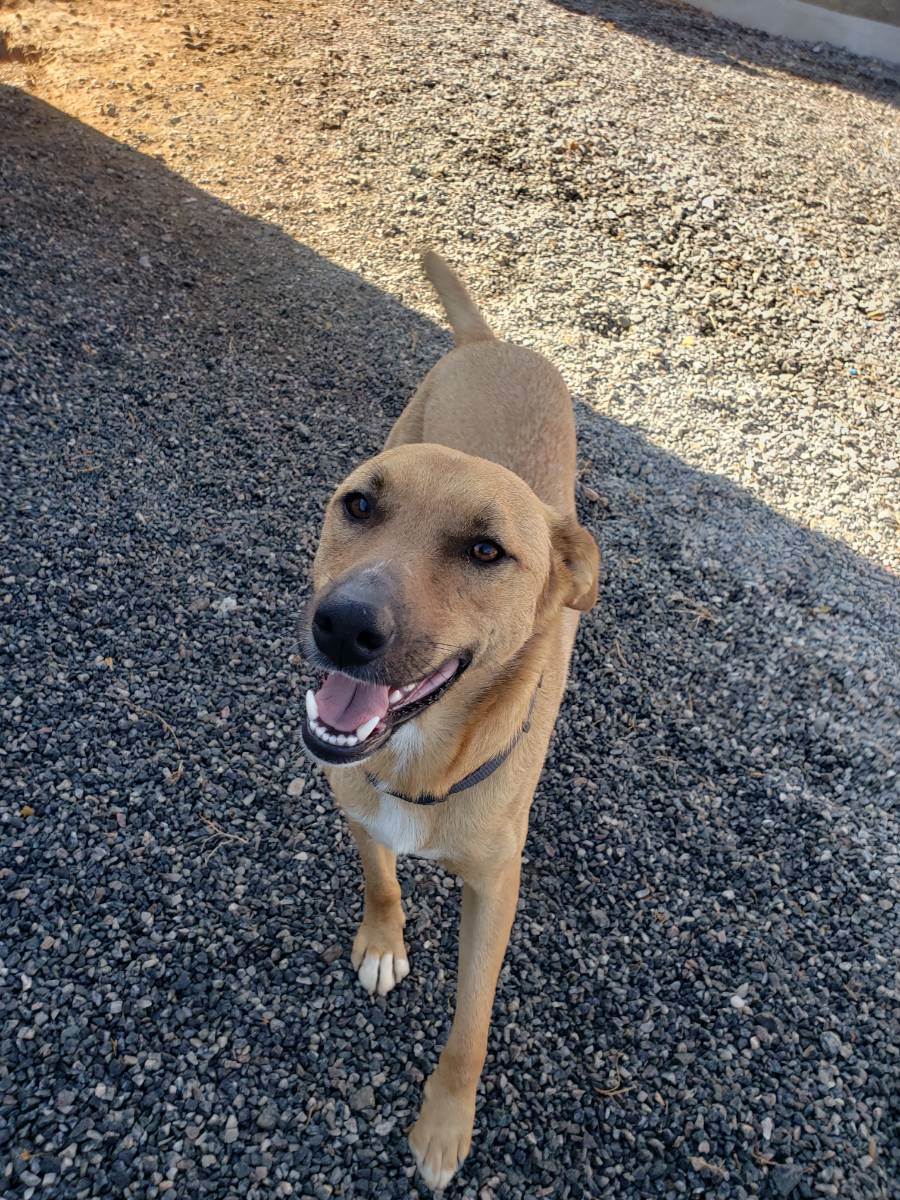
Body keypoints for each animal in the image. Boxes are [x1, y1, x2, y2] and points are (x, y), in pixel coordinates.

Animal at [301, 252, 599, 1190]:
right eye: (359, 507)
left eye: (485, 552)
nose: (342, 625)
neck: (421, 755)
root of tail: (492, 343)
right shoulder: (358, 804)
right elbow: (380, 879)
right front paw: (383, 940)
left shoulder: (497, 887)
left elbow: (471, 1025)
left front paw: (443, 1127)